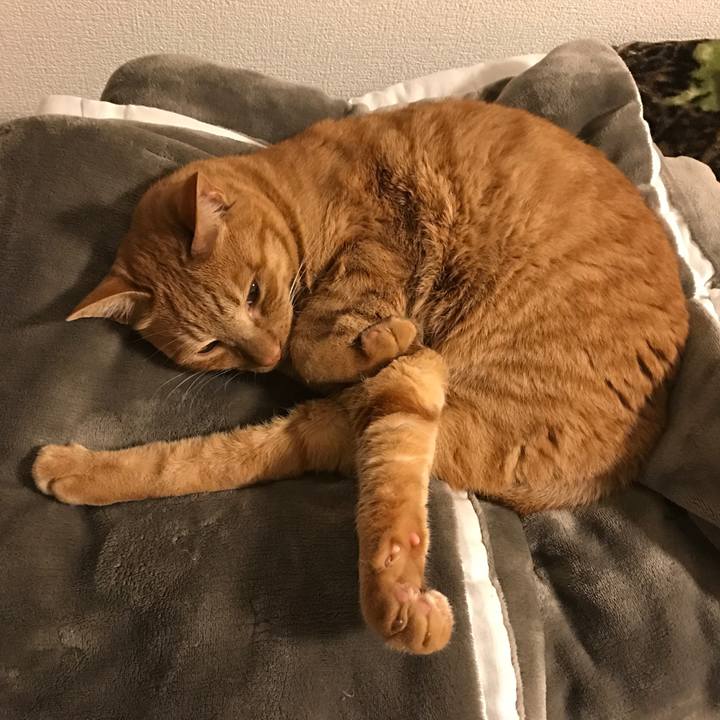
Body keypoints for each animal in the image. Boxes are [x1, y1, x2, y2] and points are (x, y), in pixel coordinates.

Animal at [32, 98, 689, 654]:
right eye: (210, 346)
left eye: (253, 293)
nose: (263, 357)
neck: (295, 189)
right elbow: (310, 349)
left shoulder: (376, 253)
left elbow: (310, 344)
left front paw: (348, 340)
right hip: (412, 386)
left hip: (429, 375)